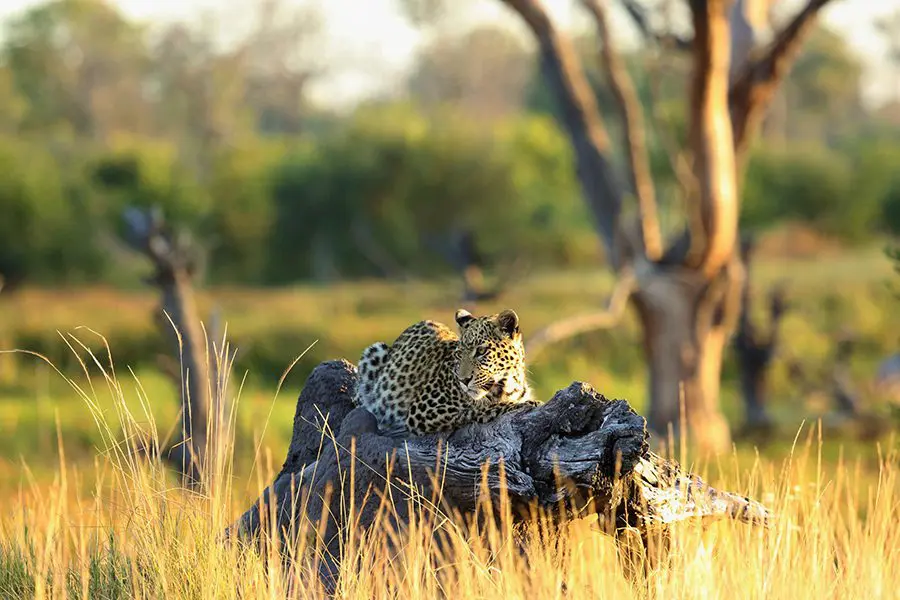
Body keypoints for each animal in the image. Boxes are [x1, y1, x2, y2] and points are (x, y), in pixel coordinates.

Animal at [354, 310, 536, 436]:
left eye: (481, 351)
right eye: (459, 354)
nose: (464, 380)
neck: (508, 385)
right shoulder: (422, 410)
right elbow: (476, 409)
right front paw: (523, 404)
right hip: (374, 352)